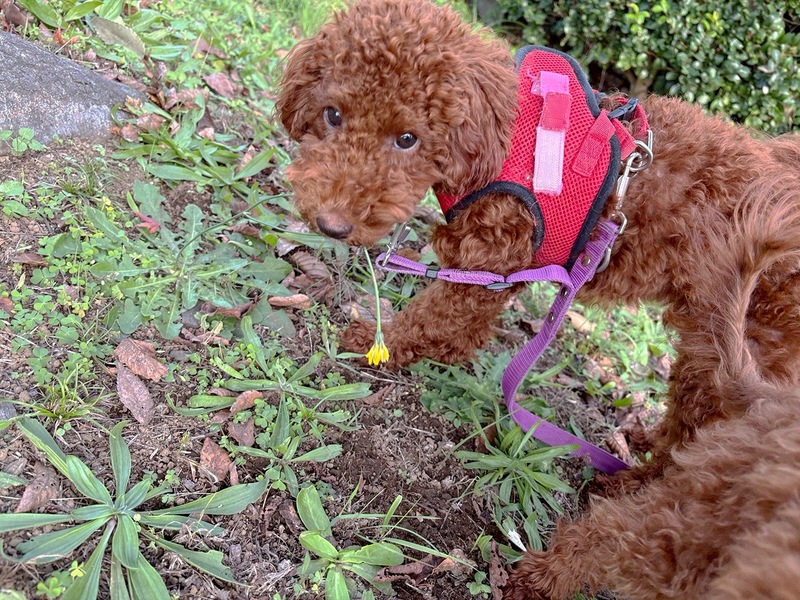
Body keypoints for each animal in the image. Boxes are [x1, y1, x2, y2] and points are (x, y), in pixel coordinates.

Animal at [277, 0, 800, 457]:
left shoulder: (492, 259)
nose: (331, 224)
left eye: (407, 139)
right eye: (332, 115)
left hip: (740, 345)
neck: (504, 137)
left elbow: (436, 319)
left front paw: (375, 343)